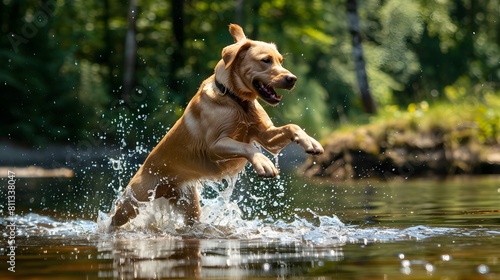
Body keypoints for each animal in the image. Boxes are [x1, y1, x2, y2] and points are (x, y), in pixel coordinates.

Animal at [107, 23, 322, 230]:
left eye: (280, 61)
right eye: (266, 60)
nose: (292, 79)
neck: (237, 102)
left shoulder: (267, 136)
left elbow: (293, 126)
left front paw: (311, 142)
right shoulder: (214, 146)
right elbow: (247, 146)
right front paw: (263, 163)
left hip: (189, 205)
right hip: (133, 202)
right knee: (114, 220)